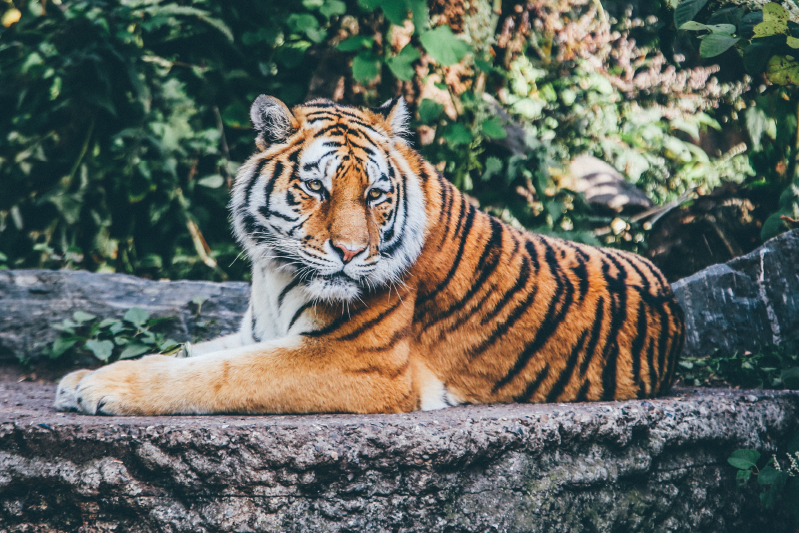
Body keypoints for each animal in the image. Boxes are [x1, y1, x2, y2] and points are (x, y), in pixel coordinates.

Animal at [54, 95, 685, 416]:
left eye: (376, 195)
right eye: (317, 188)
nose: (351, 252)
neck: (273, 271)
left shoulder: (354, 361)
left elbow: (216, 375)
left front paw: (102, 389)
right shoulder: (257, 331)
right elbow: (188, 353)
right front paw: (82, 377)